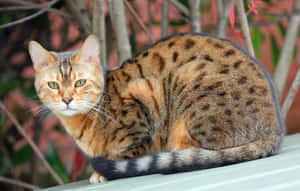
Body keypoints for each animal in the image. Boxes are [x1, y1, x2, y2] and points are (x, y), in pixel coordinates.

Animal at [28, 32, 286, 184]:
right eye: (53, 85)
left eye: (80, 82)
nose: (67, 99)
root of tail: (275, 128)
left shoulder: (141, 108)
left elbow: (124, 151)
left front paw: (102, 171)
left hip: (189, 83)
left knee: (202, 150)